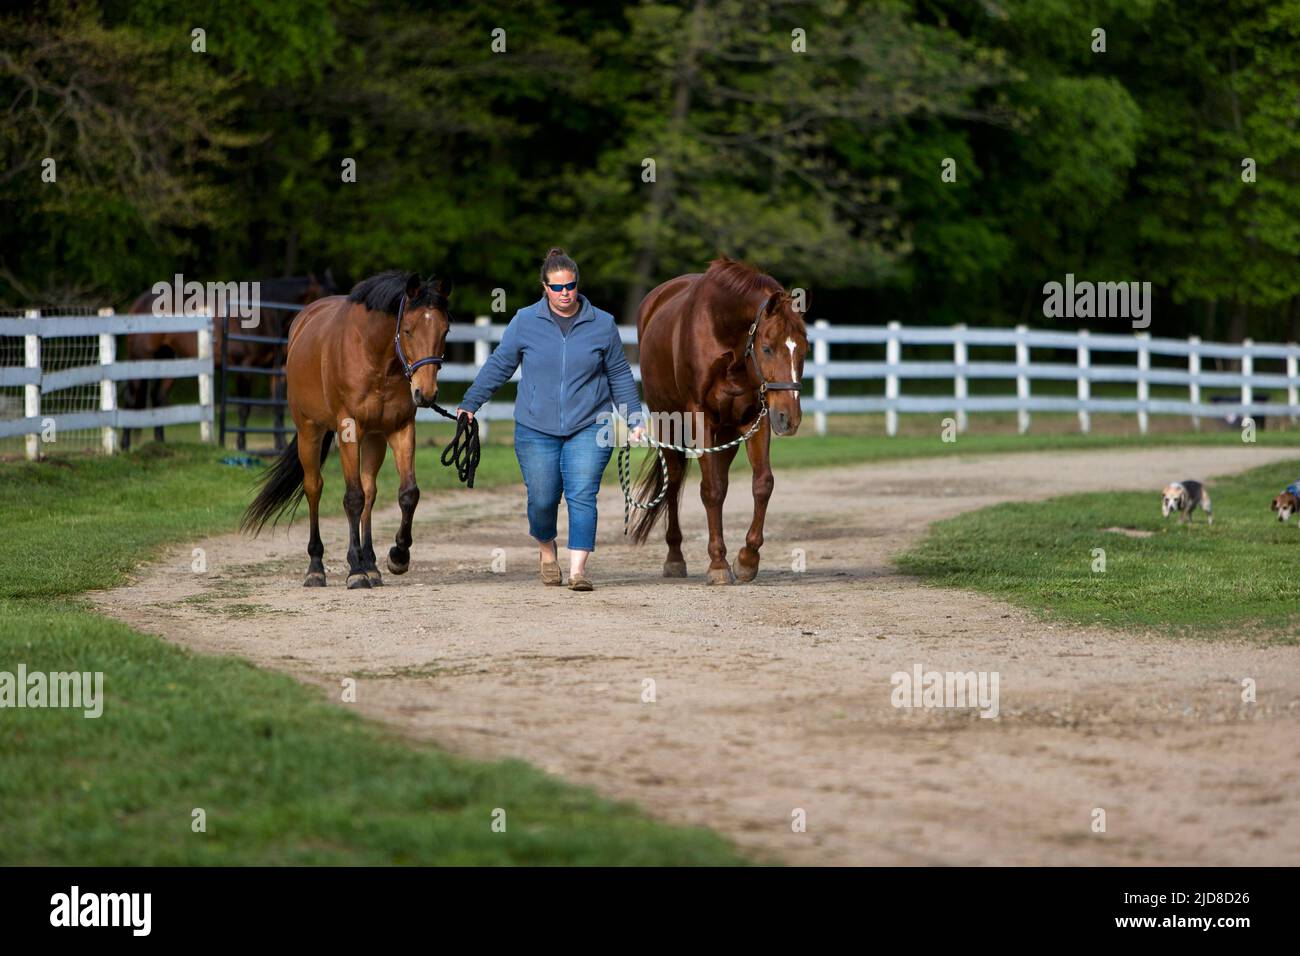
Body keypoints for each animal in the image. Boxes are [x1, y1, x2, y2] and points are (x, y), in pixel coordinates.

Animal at [121, 273, 332, 452]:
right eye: (325, 295)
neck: (267, 314)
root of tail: (139, 303)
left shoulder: (276, 370)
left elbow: (278, 408)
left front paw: (279, 446)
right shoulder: (244, 367)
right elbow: (244, 408)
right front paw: (241, 445)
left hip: (171, 361)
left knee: (158, 397)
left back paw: (160, 443)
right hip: (140, 359)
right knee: (131, 400)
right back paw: (124, 446)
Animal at [241, 269, 454, 590]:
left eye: (445, 331)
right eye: (408, 330)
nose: (425, 394)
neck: (376, 357)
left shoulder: (400, 429)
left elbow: (407, 493)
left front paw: (397, 556)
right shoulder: (348, 429)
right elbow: (352, 498)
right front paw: (355, 571)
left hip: (374, 439)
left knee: (370, 491)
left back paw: (372, 566)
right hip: (309, 432)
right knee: (314, 488)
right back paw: (316, 568)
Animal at [626, 256, 806, 582]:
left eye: (804, 350)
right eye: (767, 348)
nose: (789, 418)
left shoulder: (755, 418)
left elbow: (762, 483)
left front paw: (747, 559)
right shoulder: (701, 417)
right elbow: (710, 490)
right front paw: (718, 564)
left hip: (727, 434)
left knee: (719, 479)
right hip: (669, 424)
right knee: (674, 483)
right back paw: (675, 558)